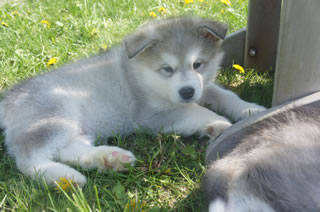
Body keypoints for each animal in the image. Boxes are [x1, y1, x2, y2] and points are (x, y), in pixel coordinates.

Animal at [0, 16, 264, 186]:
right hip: (56, 115)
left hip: (74, 126)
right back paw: (62, 177)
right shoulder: (151, 115)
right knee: (28, 157)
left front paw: (250, 110)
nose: (187, 91)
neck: (143, 75)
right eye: (167, 69)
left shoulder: (201, 88)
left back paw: (109, 159)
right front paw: (218, 122)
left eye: (197, 64)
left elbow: (223, 95)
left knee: (70, 149)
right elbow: (194, 110)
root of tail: (8, 97)